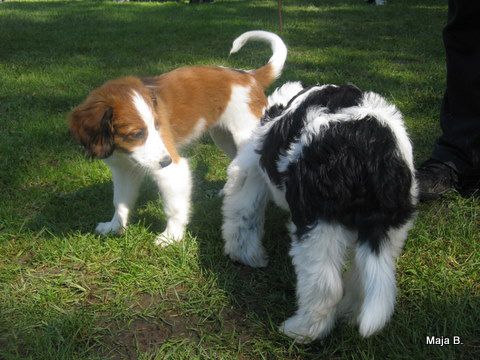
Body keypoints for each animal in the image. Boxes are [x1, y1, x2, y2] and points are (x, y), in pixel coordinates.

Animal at [67, 30, 284, 245]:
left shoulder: (173, 170)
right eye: (136, 134)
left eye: (157, 126)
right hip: (223, 137)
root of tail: (249, 75)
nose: (165, 161)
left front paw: (171, 236)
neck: (122, 152)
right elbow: (120, 201)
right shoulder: (123, 170)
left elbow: (174, 207)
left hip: (245, 136)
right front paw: (115, 226)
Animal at [221, 82, 416, 344]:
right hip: (392, 227)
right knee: (362, 278)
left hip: (319, 224)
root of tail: (374, 152)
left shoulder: (249, 170)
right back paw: (349, 314)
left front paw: (243, 255)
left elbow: (242, 213)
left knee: (325, 287)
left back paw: (301, 330)